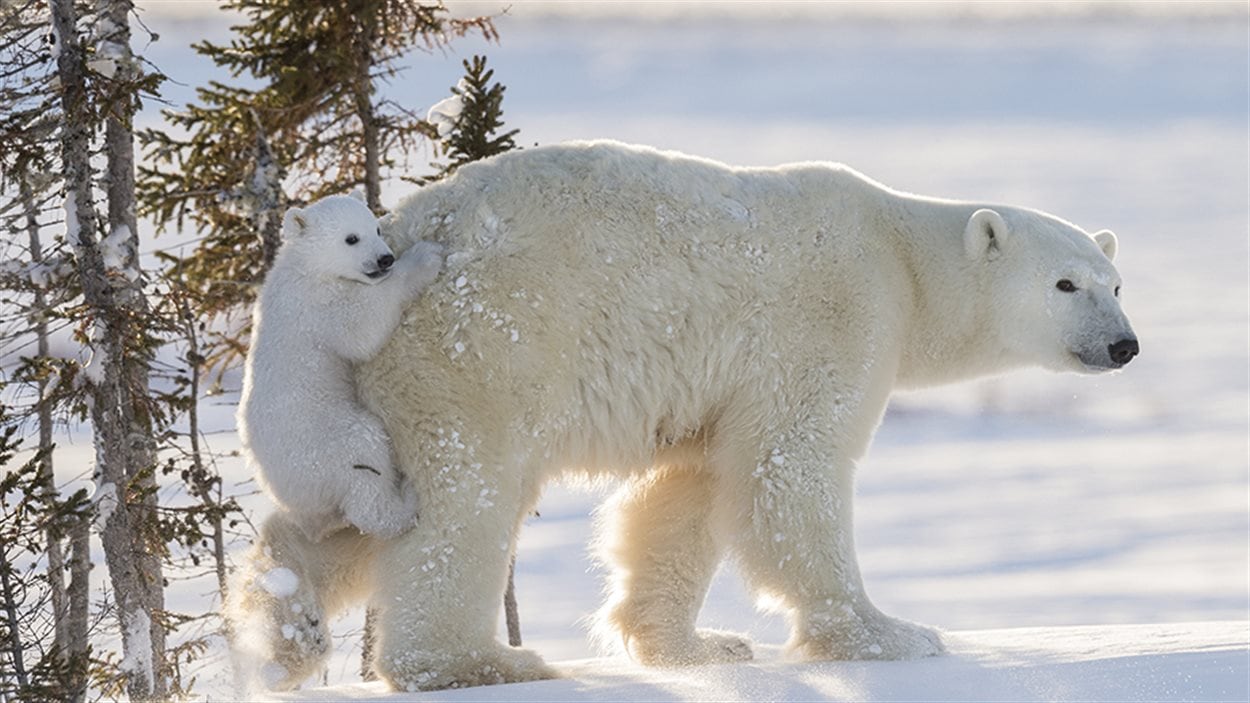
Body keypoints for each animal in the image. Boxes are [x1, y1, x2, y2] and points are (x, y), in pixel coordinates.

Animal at [236, 193, 447, 537]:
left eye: (376, 228)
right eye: (351, 238)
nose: (385, 259)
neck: (306, 268)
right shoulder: (318, 307)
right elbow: (362, 328)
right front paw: (425, 256)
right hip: (327, 443)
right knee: (365, 459)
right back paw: (406, 501)